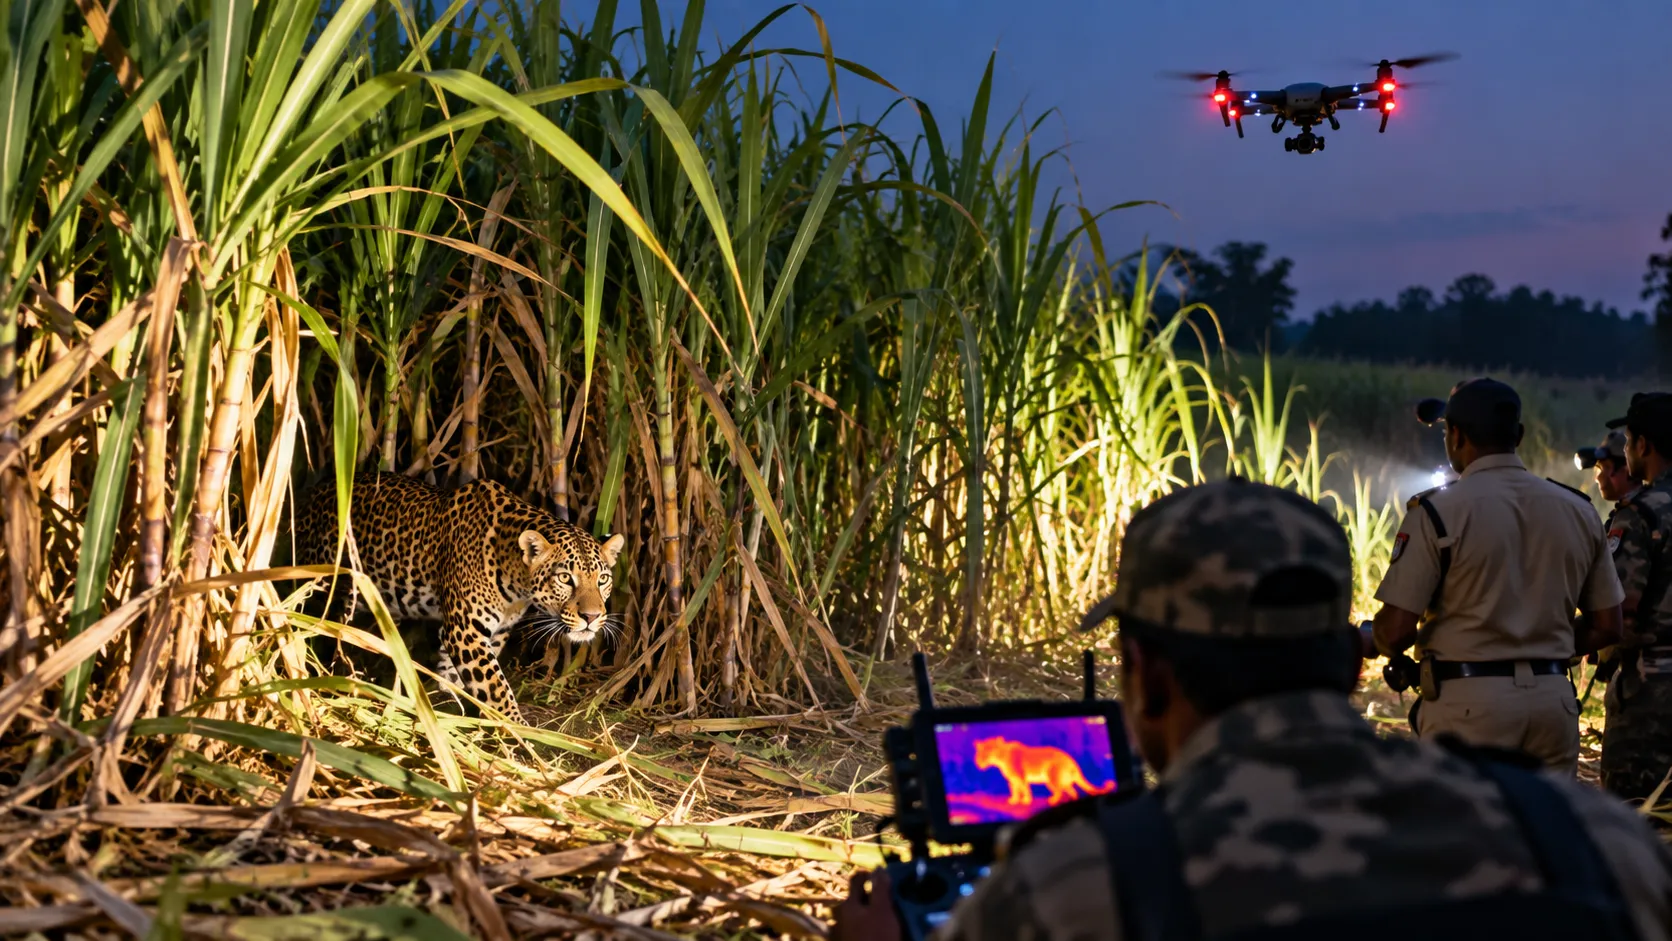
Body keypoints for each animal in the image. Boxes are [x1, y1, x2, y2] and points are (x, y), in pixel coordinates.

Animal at [293, 471, 624, 724]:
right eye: (565, 578)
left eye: (603, 579)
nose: (592, 617)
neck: (516, 580)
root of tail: (317, 489)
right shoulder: (466, 630)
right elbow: (497, 685)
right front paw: (517, 727)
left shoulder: (494, 630)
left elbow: (461, 673)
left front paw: (450, 700)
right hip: (329, 585)